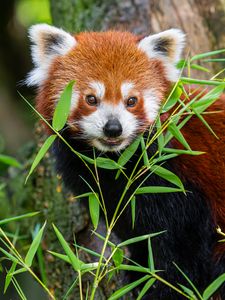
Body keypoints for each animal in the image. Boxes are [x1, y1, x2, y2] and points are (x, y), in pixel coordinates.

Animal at [26, 24, 225, 300]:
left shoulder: (179, 184)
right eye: (91, 99)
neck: (120, 162)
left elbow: (181, 246)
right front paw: (138, 270)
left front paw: (161, 285)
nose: (113, 128)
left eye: (131, 100)